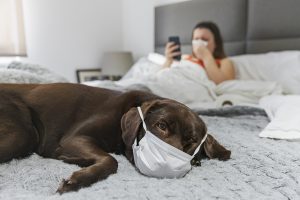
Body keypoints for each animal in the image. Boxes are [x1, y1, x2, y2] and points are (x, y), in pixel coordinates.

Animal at [0, 83, 230, 194]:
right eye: (161, 126)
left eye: (191, 141)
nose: (167, 167)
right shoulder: (75, 138)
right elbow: (111, 160)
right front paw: (78, 179)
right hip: (23, 133)